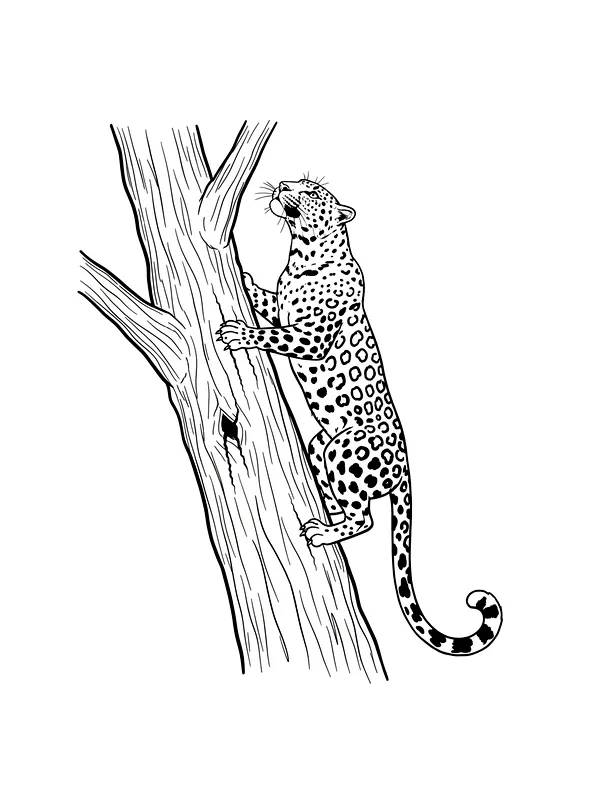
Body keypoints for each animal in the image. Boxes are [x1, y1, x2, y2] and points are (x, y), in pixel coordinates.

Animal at [217, 178, 502, 655]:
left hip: (345, 451)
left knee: (366, 520)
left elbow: (276, 335)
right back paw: (324, 520)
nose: (282, 185)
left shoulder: (310, 338)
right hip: (322, 445)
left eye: (312, 191)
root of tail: (405, 465)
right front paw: (245, 278)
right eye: (296, 183)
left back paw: (326, 533)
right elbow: (268, 302)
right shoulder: (282, 305)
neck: (302, 255)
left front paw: (241, 333)